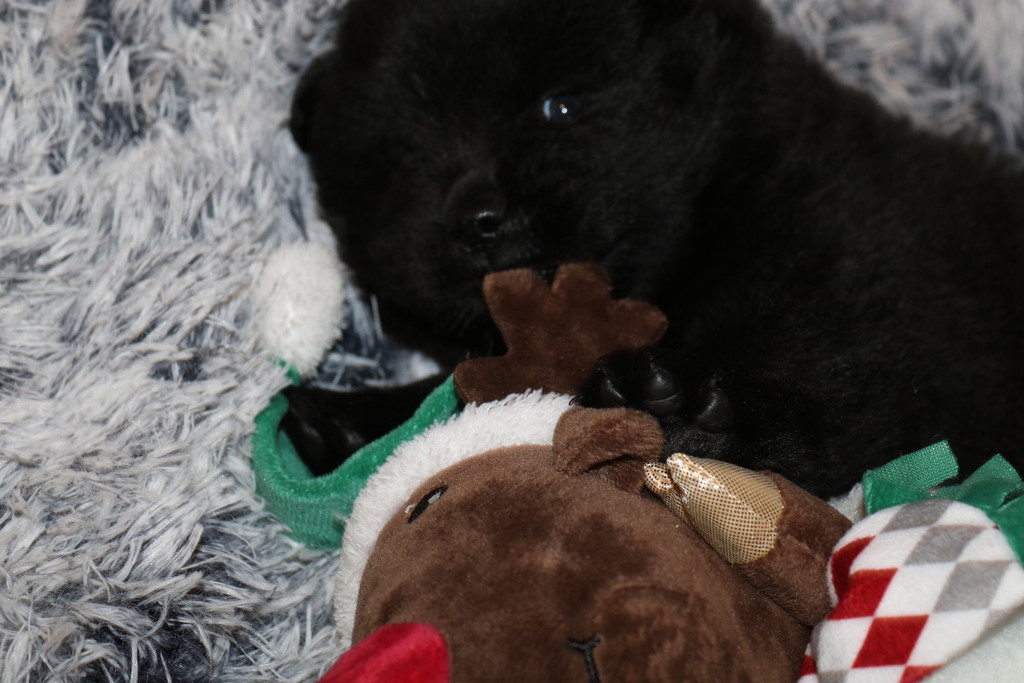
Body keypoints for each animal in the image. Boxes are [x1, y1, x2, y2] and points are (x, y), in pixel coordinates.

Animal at [285, 0, 1024, 498]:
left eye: (560, 105)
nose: (478, 216)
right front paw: (348, 420)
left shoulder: (866, 272)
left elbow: (837, 371)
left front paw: (684, 413)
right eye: (405, 158)